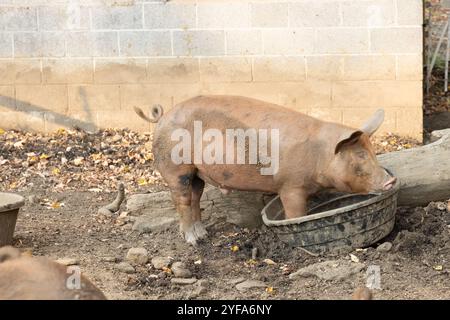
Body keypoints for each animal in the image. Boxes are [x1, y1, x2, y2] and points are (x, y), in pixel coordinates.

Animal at [134, 95, 398, 245]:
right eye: (360, 156)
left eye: (373, 152)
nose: (390, 181)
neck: (319, 156)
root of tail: (163, 116)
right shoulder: (291, 186)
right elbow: (296, 214)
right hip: (176, 168)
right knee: (182, 200)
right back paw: (192, 242)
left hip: (198, 172)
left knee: (196, 197)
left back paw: (203, 235)